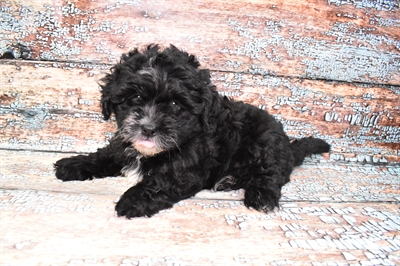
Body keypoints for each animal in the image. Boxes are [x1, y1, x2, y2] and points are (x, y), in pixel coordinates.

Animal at [56, 44, 332, 218]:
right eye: (135, 98)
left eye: (175, 105)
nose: (148, 128)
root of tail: (287, 145)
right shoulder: (124, 143)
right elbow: (106, 154)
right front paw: (74, 164)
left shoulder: (187, 166)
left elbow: (161, 181)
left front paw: (133, 199)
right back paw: (229, 181)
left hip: (264, 142)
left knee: (271, 174)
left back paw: (261, 196)